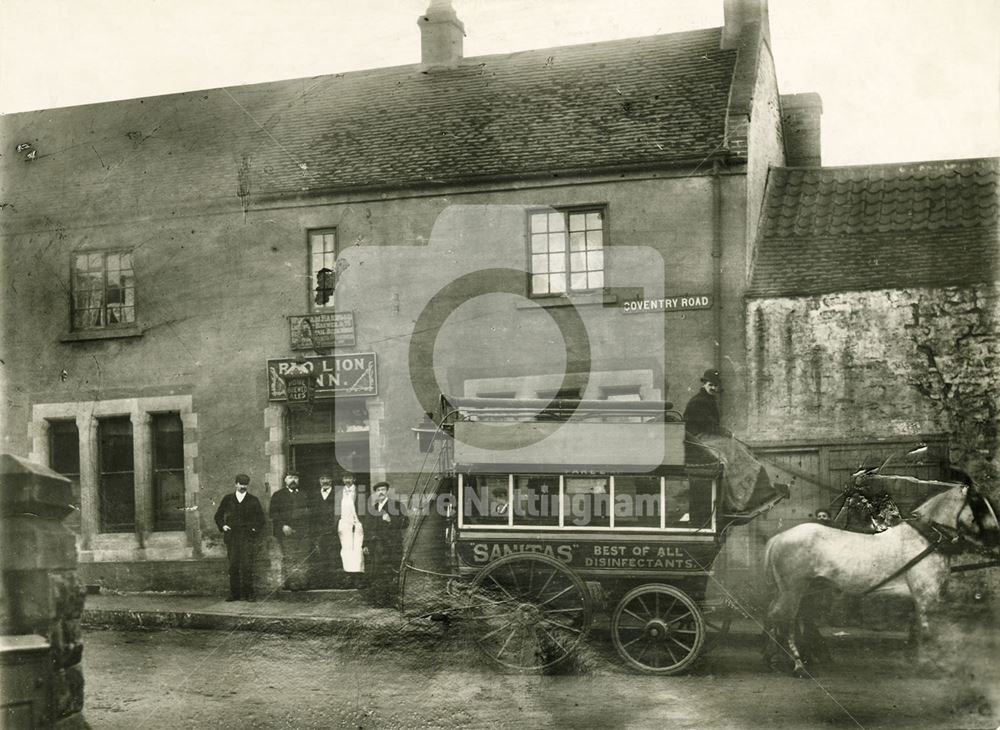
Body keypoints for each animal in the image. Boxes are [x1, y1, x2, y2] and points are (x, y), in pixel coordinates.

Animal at [760, 480, 996, 672]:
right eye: (980, 505)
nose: (995, 538)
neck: (925, 538)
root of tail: (779, 537)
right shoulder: (926, 596)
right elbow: (928, 629)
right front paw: (931, 665)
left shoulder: (921, 597)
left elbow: (917, 627)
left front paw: (917, 660)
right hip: (793, 590)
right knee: (786, 619)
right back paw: (797, 664)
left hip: (798, 590)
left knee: (775, 614)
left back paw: (773, 659)